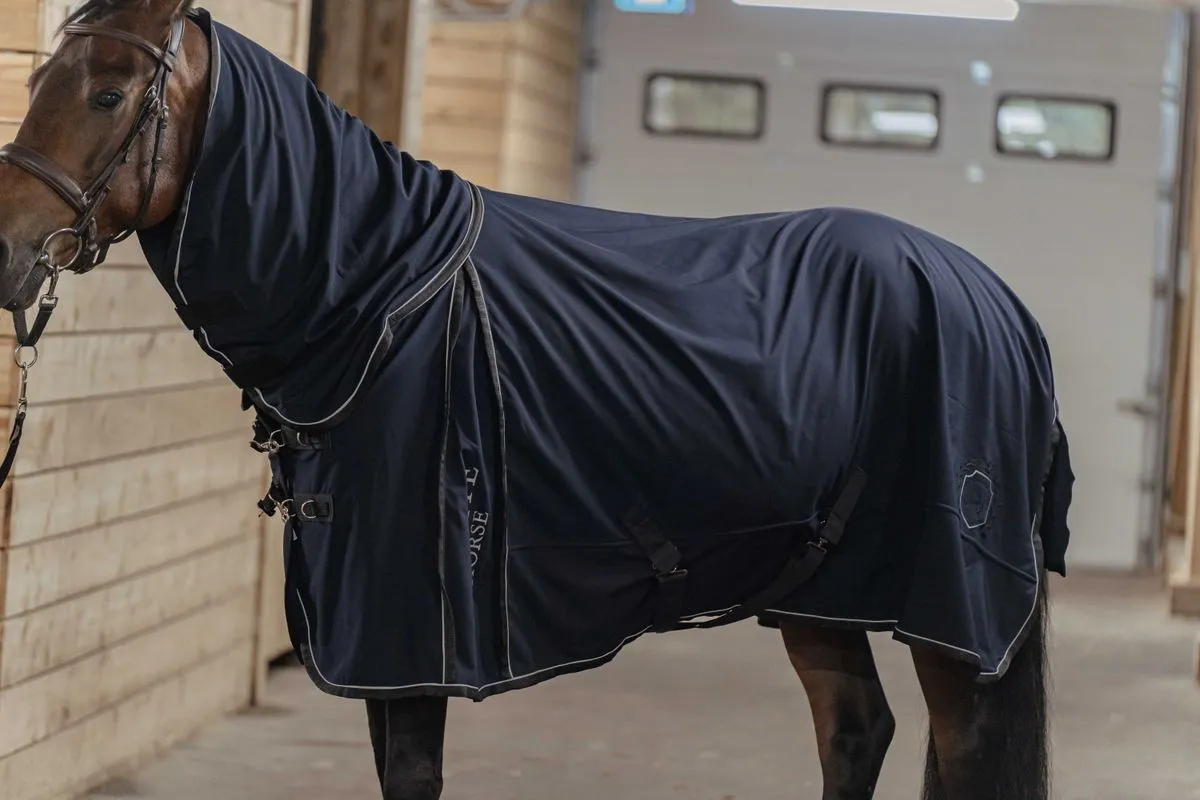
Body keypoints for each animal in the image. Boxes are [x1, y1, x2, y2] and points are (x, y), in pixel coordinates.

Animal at [0, 2, 1075, 799]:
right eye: (36, 82)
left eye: (106, 92)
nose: (7, 254)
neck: (382, 292)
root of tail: (999, 302)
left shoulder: (405, 636)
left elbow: (413, 776)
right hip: (818, 586)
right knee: (857, 731)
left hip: (949, 612)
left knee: (959, 748)